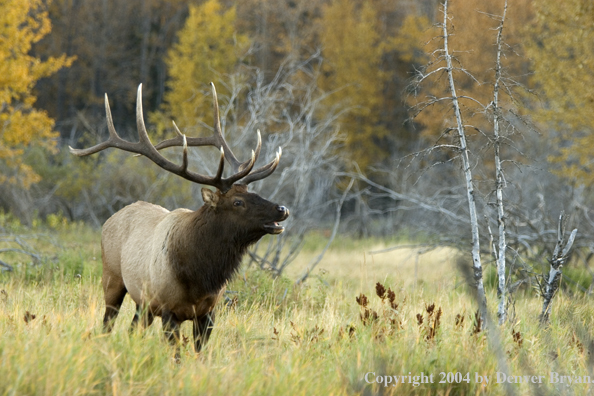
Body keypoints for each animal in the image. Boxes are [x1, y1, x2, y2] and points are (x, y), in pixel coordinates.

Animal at [70, 83, 288, 352]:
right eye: (238, 202)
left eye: (253, 193)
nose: (282, 209)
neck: (199, 276)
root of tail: (110, 219)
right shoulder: (168, 309)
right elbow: (176, 354)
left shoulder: (208, 312)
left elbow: (199, 353)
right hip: (111, 278)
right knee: (107, 323)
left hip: (143, 302)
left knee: (133, 328)